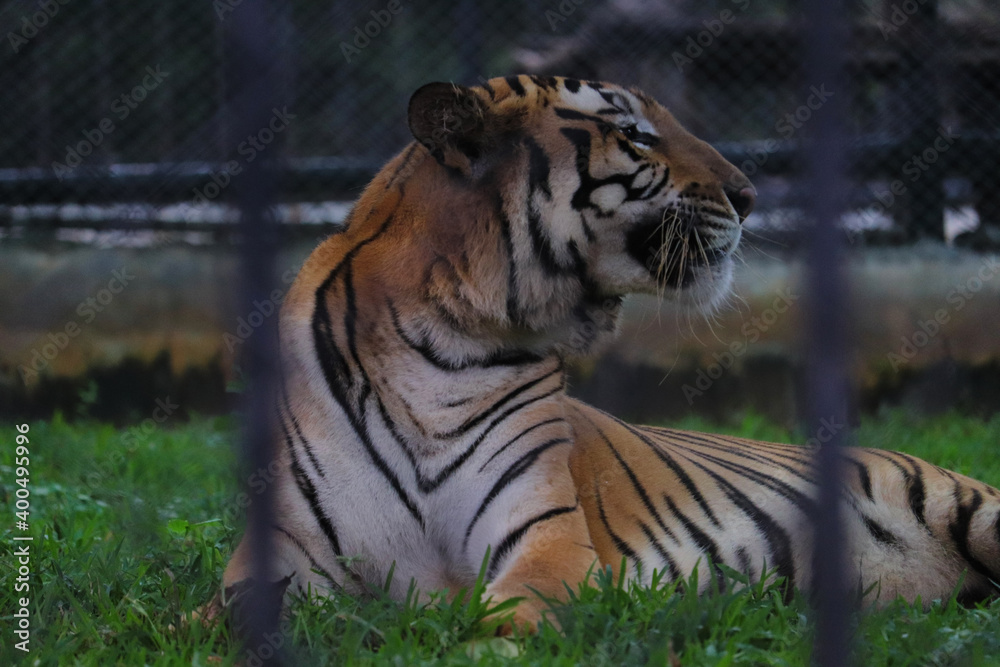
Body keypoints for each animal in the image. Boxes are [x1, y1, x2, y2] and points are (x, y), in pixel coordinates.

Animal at [222, 74, 1000, 631]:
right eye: (634, 134)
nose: (750, 195)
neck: (439, 341)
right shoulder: (275, 554)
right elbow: (210, 619)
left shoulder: (546, 540)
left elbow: (499, 619)